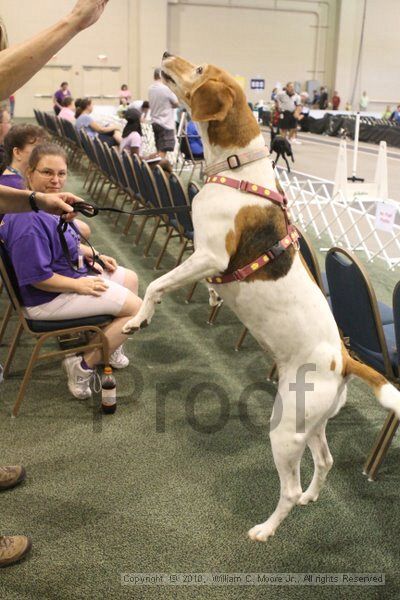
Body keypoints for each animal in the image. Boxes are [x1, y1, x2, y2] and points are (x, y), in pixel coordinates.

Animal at [123, 55, 400, 544]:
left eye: (198, 69)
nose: (166, 56)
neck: (235, 168)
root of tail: (344, 360)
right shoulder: (203, 259)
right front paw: (210, 298)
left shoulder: (208, 254)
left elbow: (156, 285)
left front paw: (140, 318)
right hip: (312, 423)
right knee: (324, 461)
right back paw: (311, 496)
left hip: (285, 428)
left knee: (286, 489)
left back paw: (266, 529)